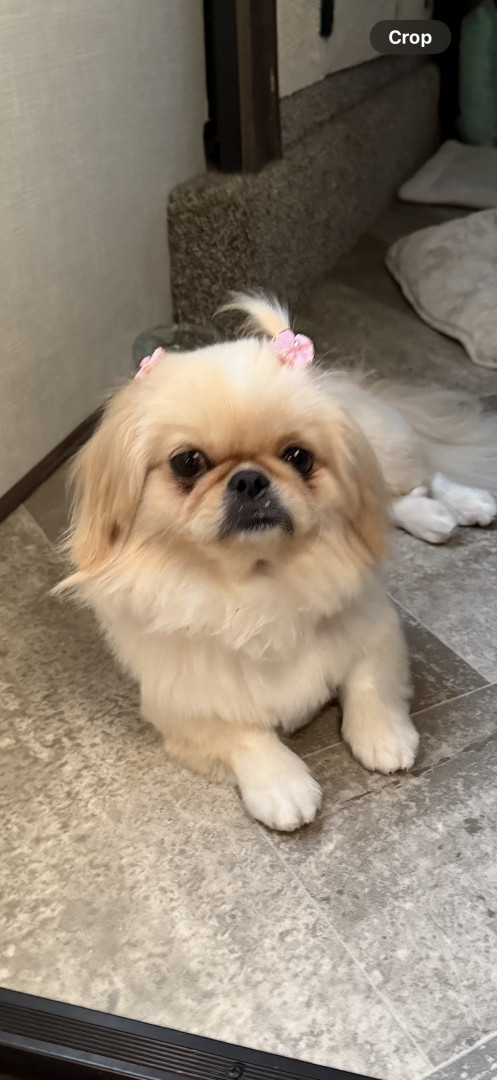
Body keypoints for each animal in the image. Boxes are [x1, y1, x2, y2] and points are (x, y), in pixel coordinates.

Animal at [59, 294, 497, 831]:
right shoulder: (180, 701)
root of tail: (339, 376)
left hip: (385, 459)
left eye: (298, 456)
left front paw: (385, 737)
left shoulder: (377, 629)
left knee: (423, 480)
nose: (250, 479)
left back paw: (471, 503)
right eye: (188, 462)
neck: (258, 581)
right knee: (400, 504)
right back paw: (437, 518)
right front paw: (283, 787)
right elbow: (245, 736)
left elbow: (369, 684)